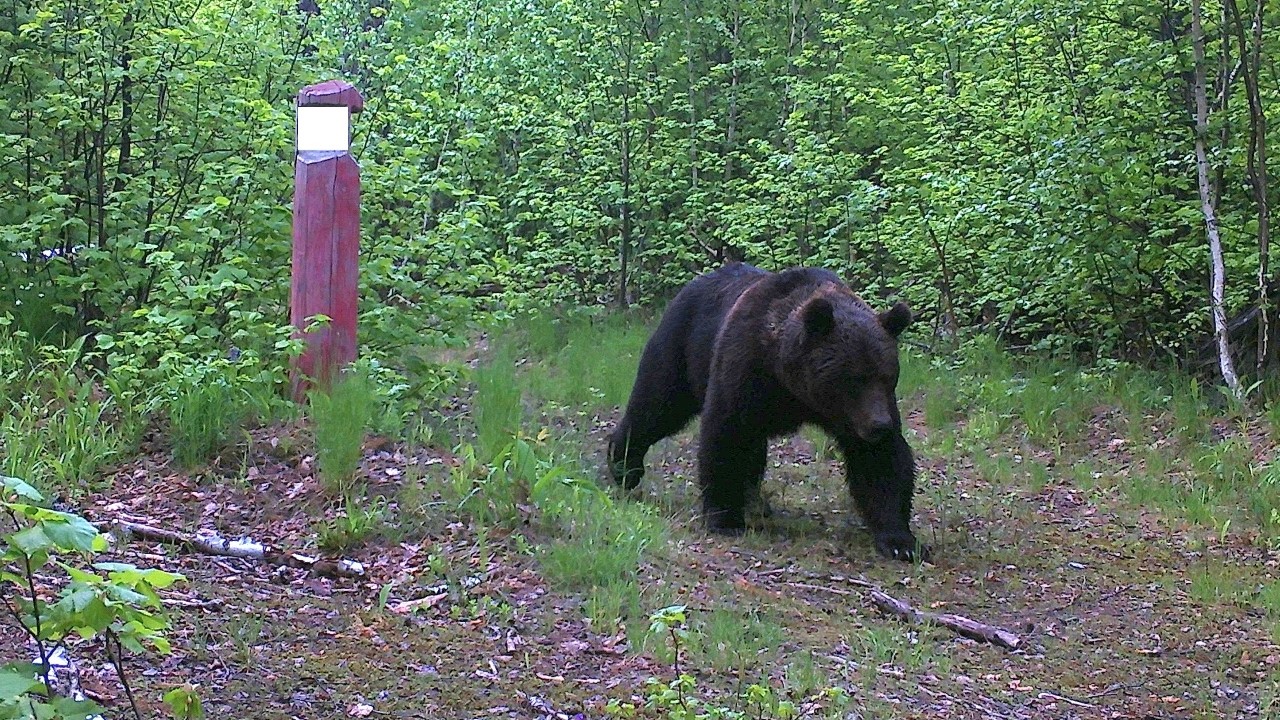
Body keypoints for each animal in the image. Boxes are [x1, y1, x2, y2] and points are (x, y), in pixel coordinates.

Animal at [607, 262, 927, 562]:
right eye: (854, 378)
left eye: (886, 376)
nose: (879, 426)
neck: (791, 382)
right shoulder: (745, 367)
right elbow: (726, 433)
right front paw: (726, 518)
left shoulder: (854, 413)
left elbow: (881, 463)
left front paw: (900, 541)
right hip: (683, 345)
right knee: (657, 404)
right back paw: (624, 466)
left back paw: (756, 501)